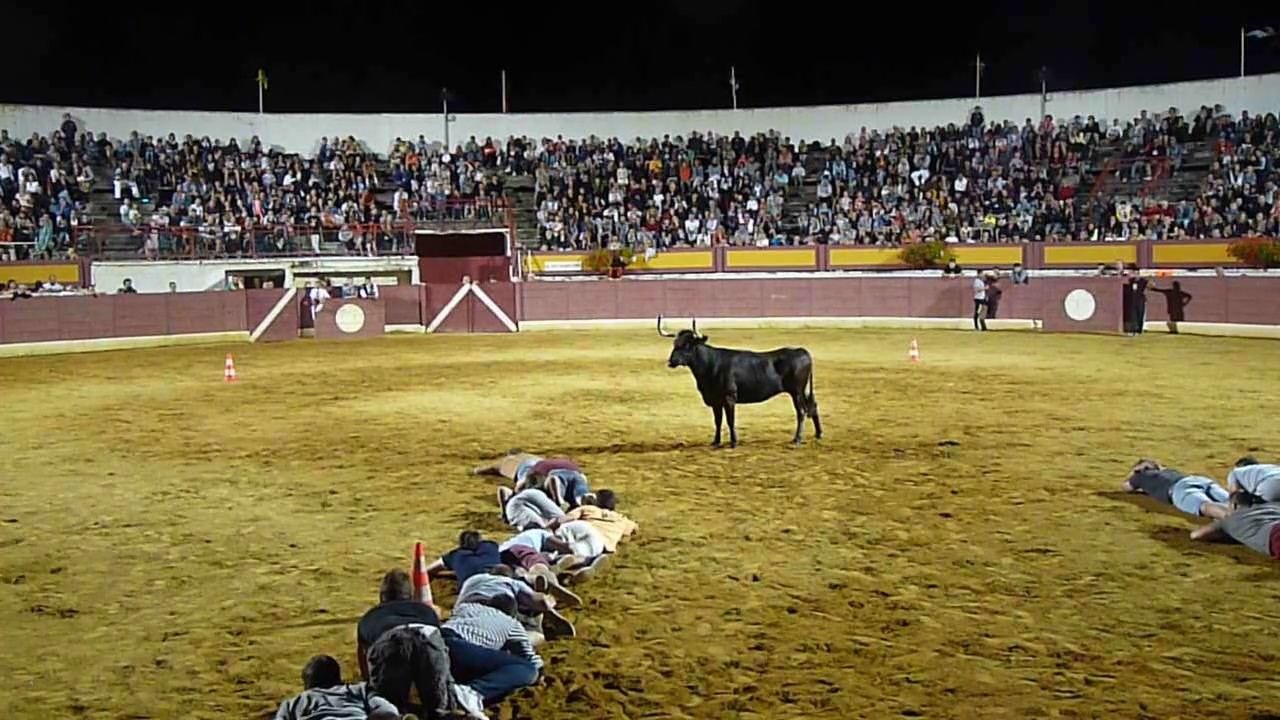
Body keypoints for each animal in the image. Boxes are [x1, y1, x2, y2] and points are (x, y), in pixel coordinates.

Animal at [658, 315, 822, 448]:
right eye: (675, 343)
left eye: (688, 345)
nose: (672, 361)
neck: (712, 364)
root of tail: (802, 351)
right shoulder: (715, 400)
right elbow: (718, 421)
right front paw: (716, 442)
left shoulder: (729, 397)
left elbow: (730, 420)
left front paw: (733, 442)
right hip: (803, 390)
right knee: (812, 406)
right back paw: (818, 434)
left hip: (797, 391)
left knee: (801, 411)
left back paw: (797, 439)